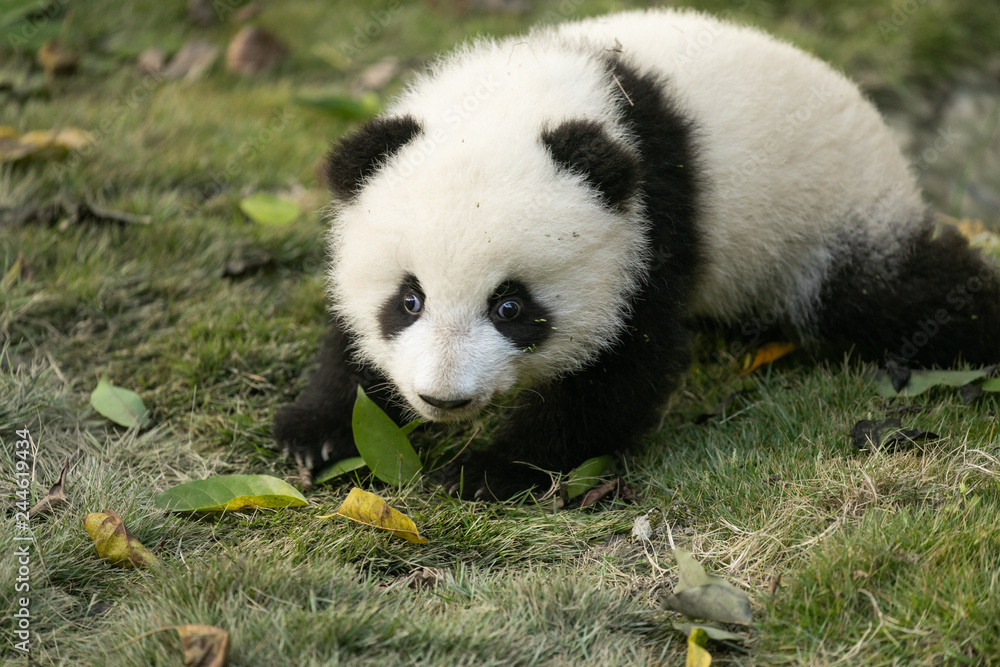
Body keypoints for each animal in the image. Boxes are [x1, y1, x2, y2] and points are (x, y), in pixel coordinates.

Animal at [274, 8, 1000, 499]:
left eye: (511, 306)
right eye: (408, 299)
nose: (443, 398)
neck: (526, 97)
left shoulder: (654, 218)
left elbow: (620, 370)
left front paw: (483, 471)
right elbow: (348, 343)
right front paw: (319, 433)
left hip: (831, 216)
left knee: (898, 295)